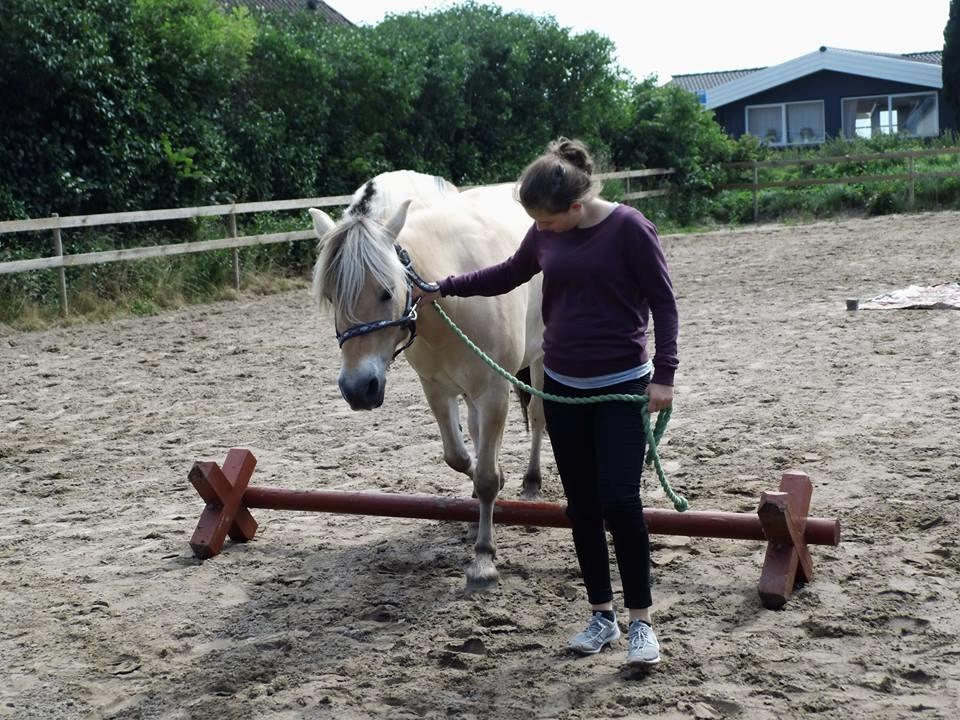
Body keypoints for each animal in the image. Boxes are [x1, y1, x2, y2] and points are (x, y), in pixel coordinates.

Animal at [310, 172, 548, 592]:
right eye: (331, 297)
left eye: (387, 291)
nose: (357, 389)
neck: (451, 305)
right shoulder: (436, 388)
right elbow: (460, 458)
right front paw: (481, 507)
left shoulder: (493, 391)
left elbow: (487, 476)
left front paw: (483, 559)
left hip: (536, 360)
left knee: (536, 415)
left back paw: (532, 481)